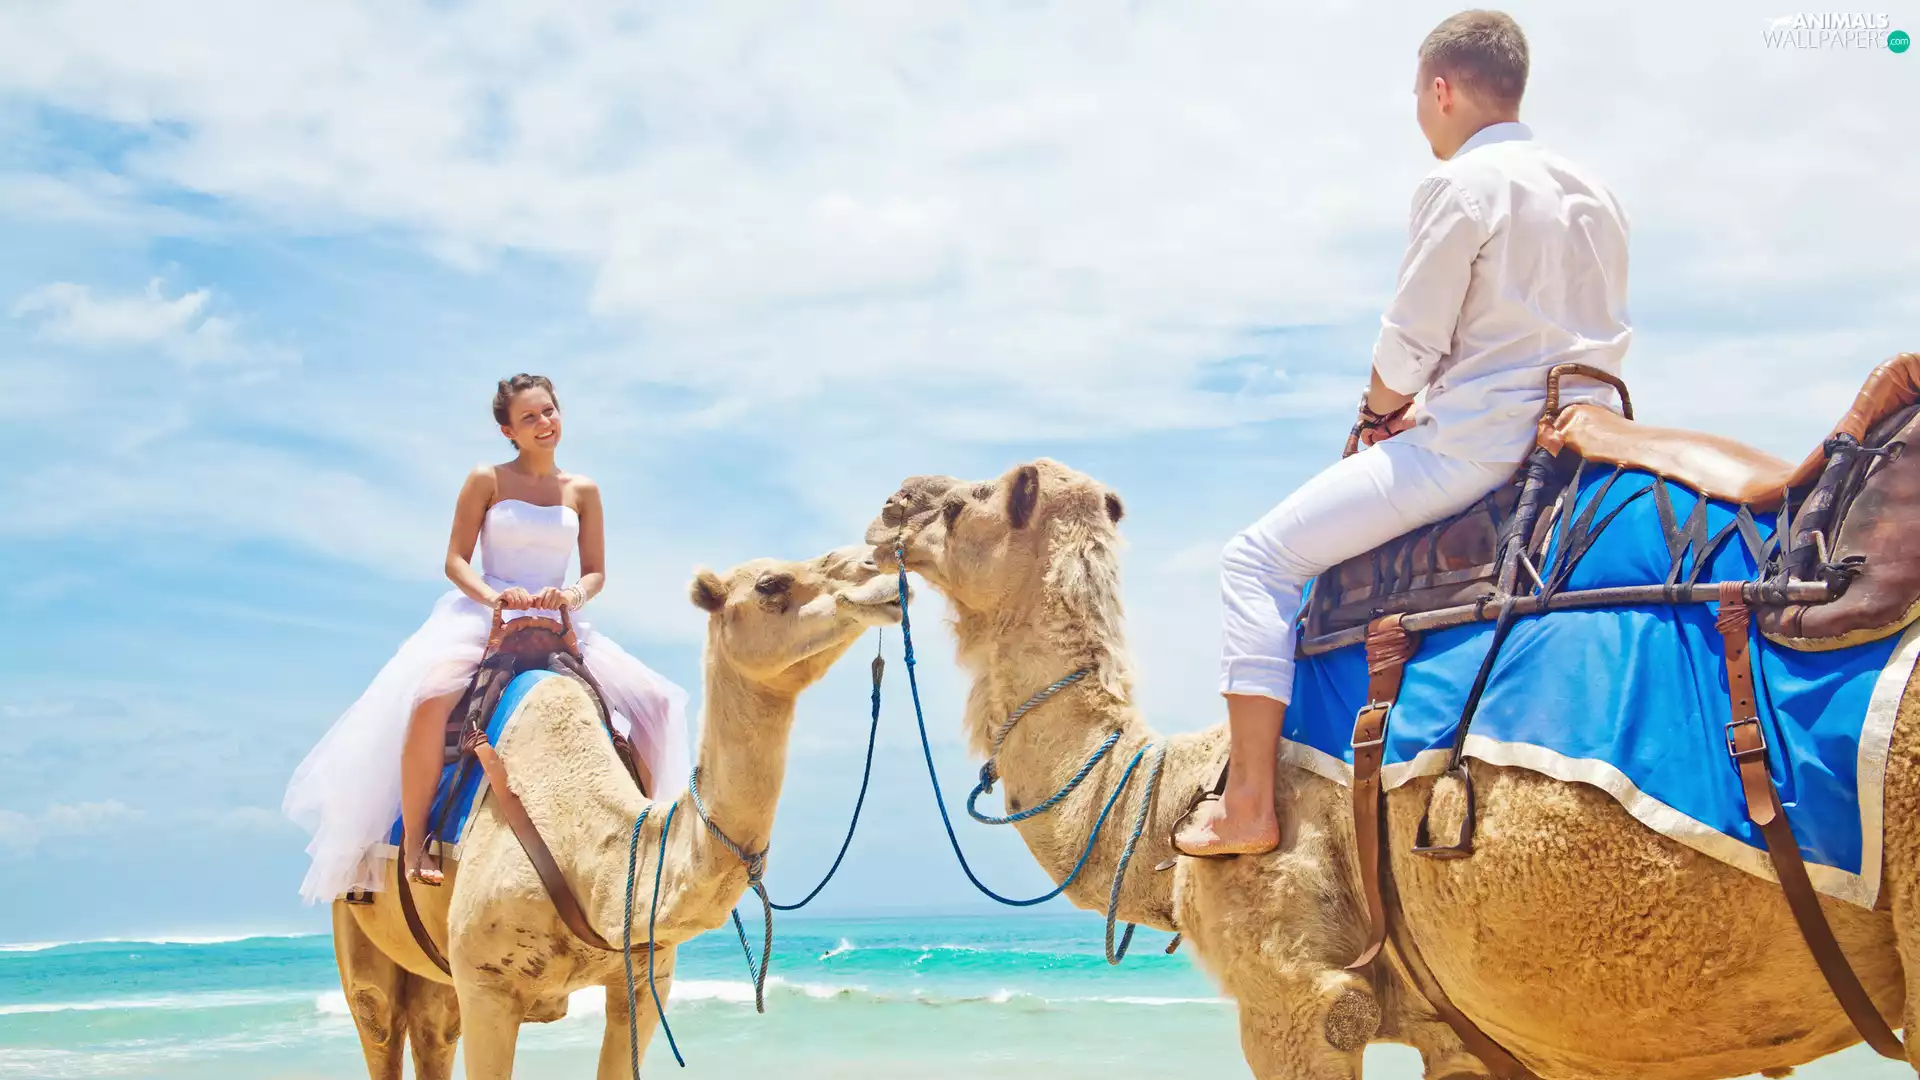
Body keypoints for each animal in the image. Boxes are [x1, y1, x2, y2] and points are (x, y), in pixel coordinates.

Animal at [329, 545, 903, 1079]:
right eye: (771, 583)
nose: (882, 565)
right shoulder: (486, 984)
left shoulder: (648, 983)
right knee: (379, 1022)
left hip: (438, 977)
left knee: (433, 1031)